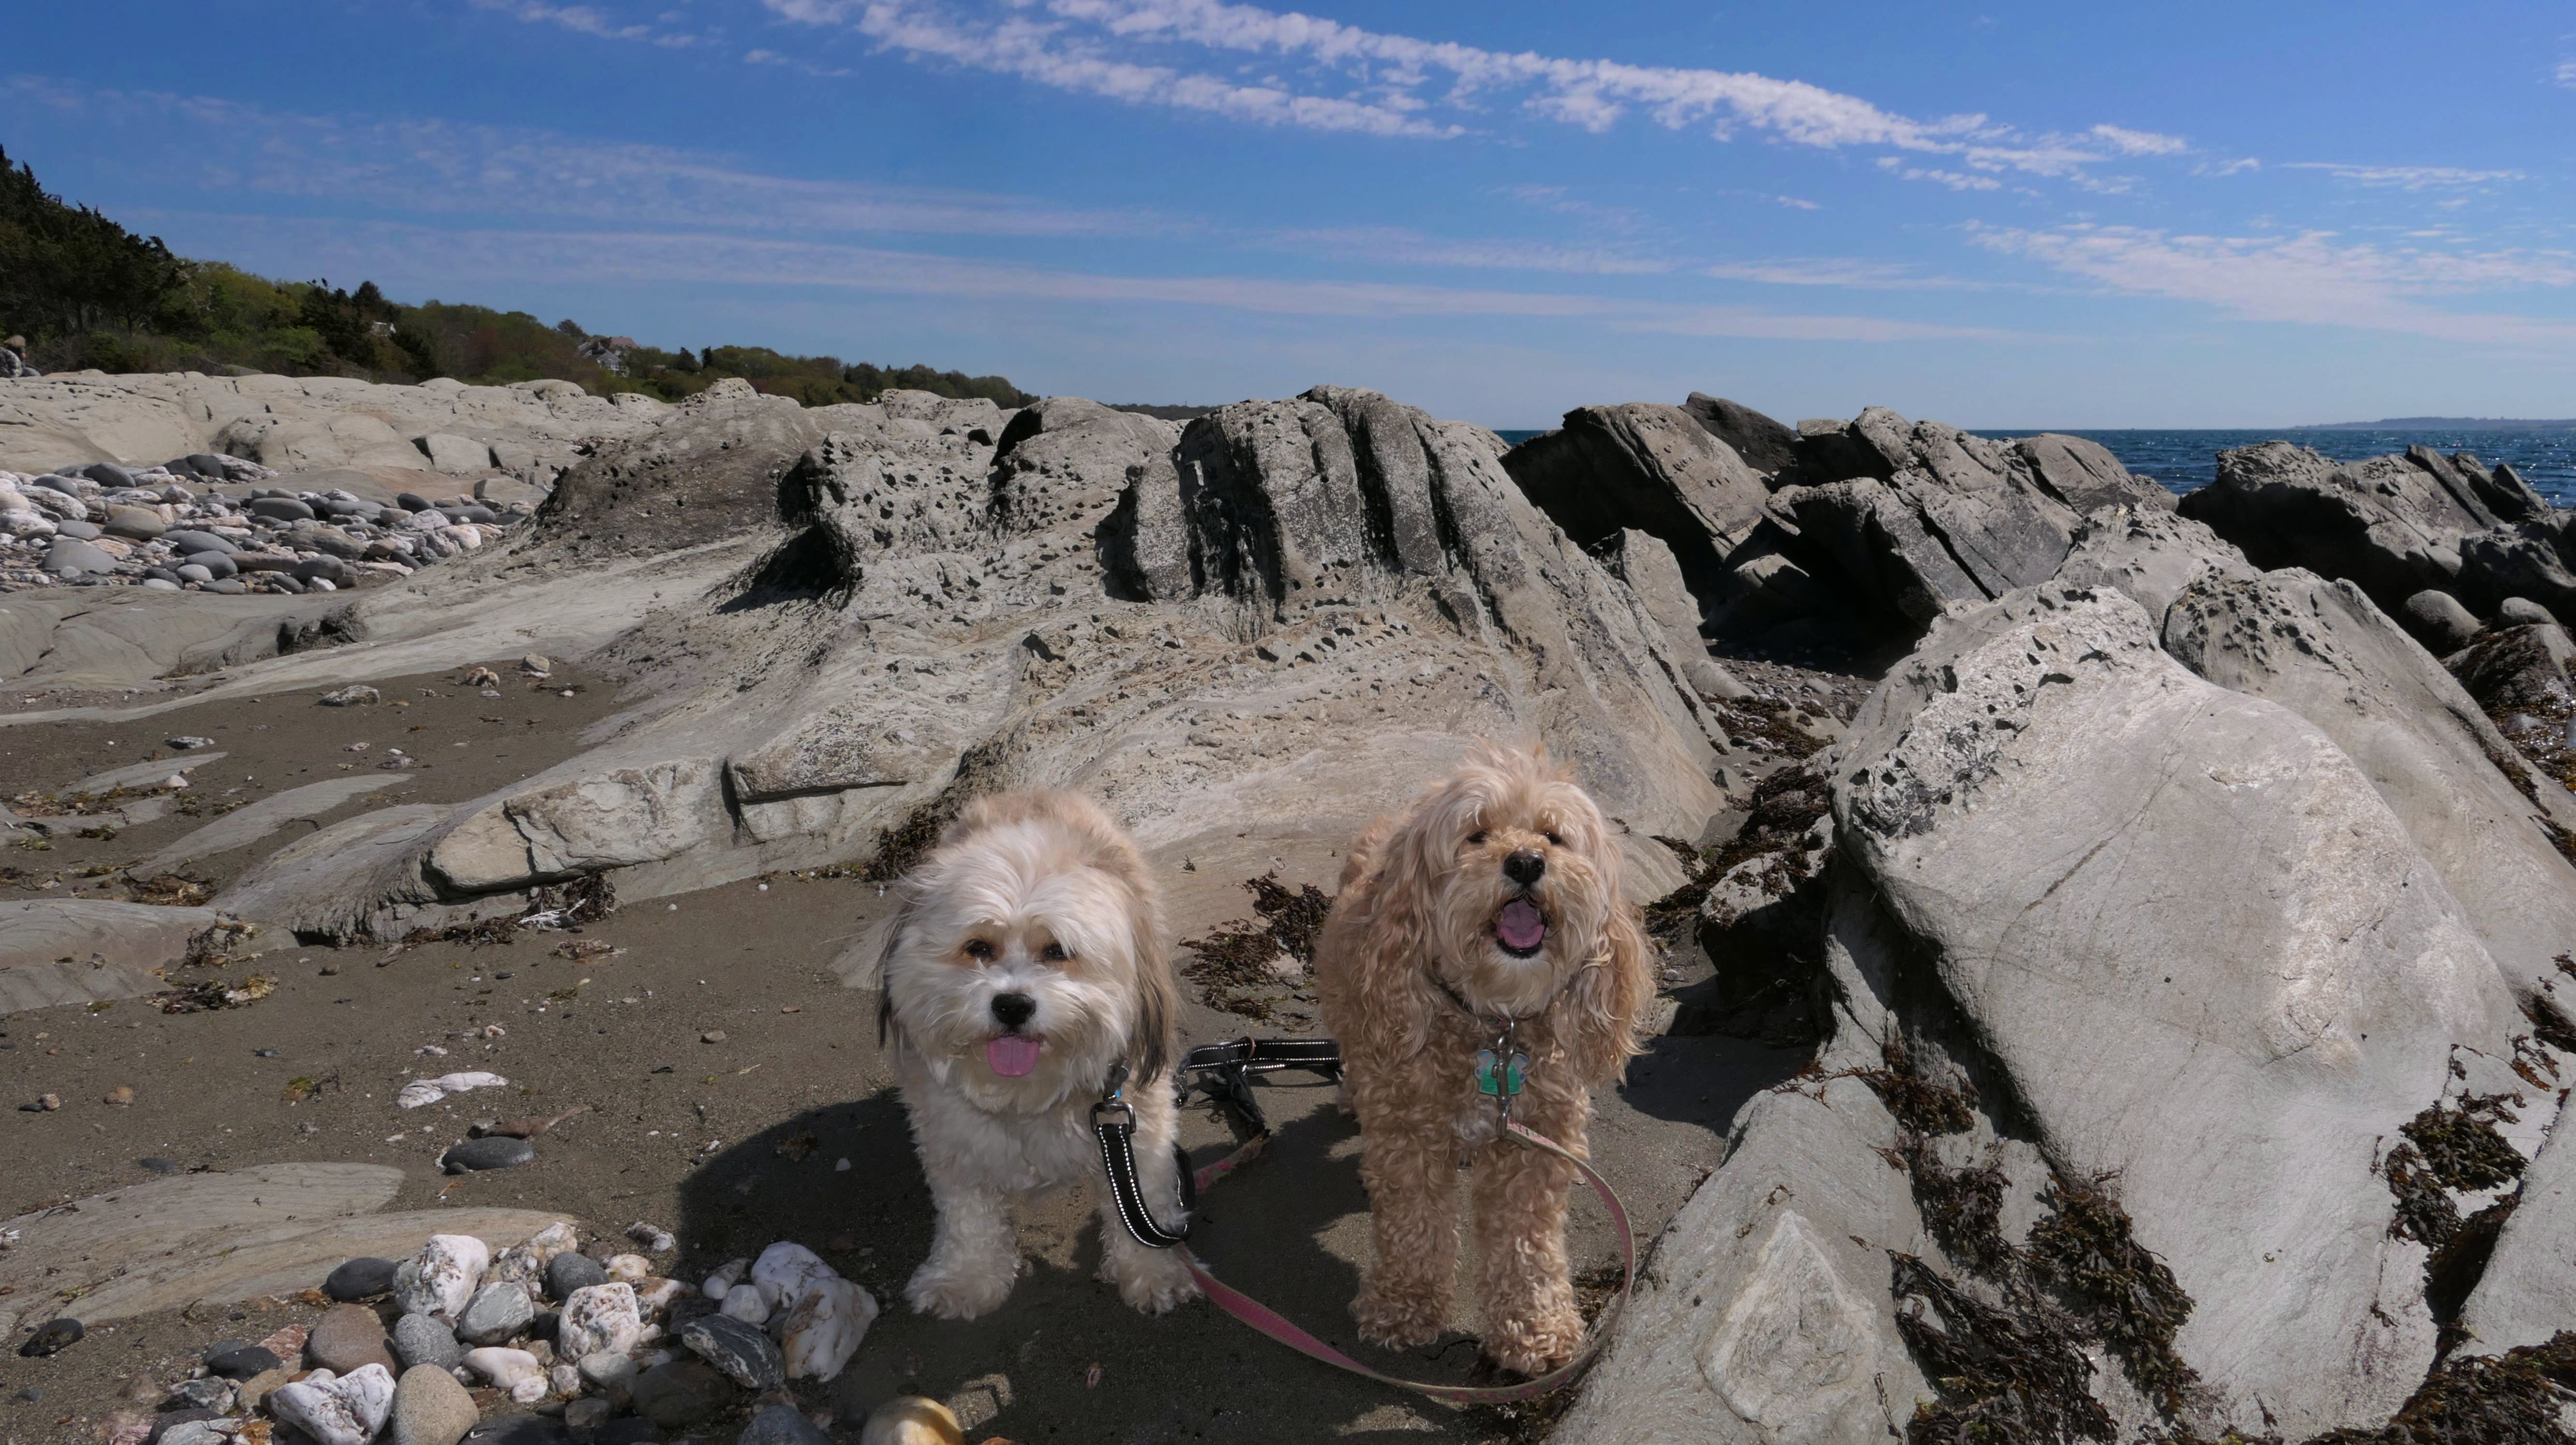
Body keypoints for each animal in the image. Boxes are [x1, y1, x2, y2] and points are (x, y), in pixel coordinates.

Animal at [870, 790, 1198, 1319]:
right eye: (978, 946)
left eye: (1057, 951)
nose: (1011, 1004)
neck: (1030, 1093)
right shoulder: (952, 1137)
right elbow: (968, 1216)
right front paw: (966, 1277)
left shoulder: (1139, 1127)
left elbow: (1144, 1199)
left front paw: (1152, 1273)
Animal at [1313, 743, 1652, 1376]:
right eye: (1476, 835)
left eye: (1552, 836)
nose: (1524, 861)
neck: (1492, 1027)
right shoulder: (1406, 1133)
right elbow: (1413, 1223)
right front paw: (1403, 1305)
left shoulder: (1535, 1141)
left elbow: (1526, 1243)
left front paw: (1534, 1327)